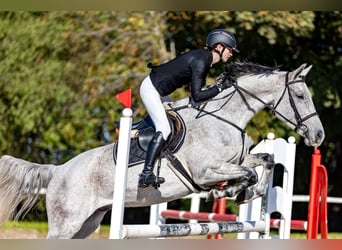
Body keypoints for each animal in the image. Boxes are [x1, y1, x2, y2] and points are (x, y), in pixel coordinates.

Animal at [0, 62, 324, 238]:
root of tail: (58, 170)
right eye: (299, 95)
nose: (318, 135)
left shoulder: (239, 158)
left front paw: (246, 194)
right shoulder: (205, 172)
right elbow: (247, 174)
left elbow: (265, 160)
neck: (224, 117)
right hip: (66, 224)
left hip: (87, 224)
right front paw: (229, 192)